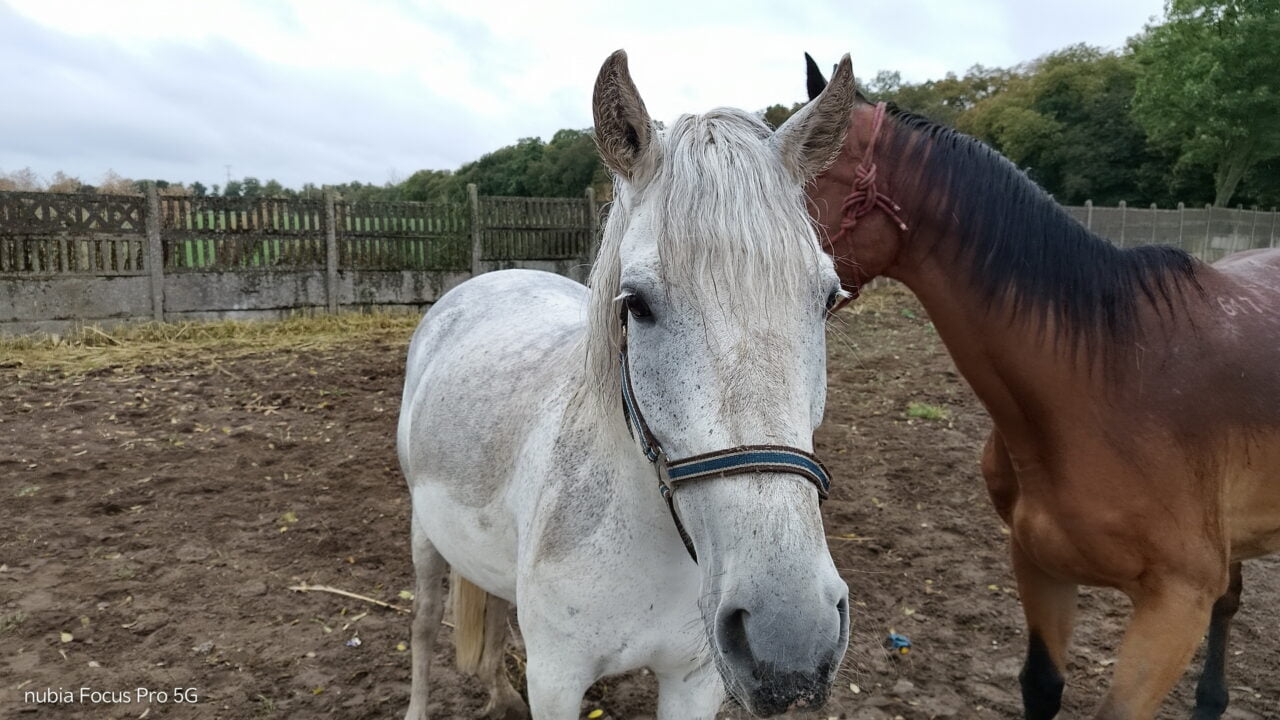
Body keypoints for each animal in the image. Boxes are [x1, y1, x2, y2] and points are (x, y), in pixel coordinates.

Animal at [396, 51, 860, 717]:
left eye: (827, 299)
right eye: (635, 304)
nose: (790, 636)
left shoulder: (693, 684)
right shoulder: (556, 680)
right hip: (423, 535)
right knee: (425, 624)